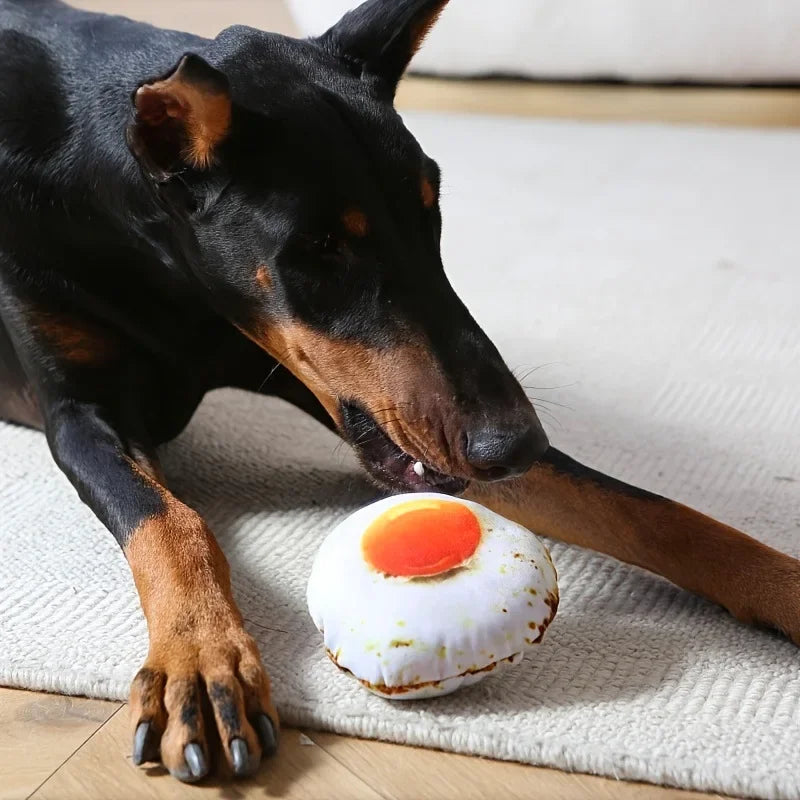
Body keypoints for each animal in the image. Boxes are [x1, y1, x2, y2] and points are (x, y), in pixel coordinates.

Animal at [1, 0, 800, 780]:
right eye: (324, 248)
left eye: (431, 210)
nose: (515, 443)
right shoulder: (79, 415)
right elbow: (169, 520)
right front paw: (201, 660)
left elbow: (649, 511)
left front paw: (785, 585)